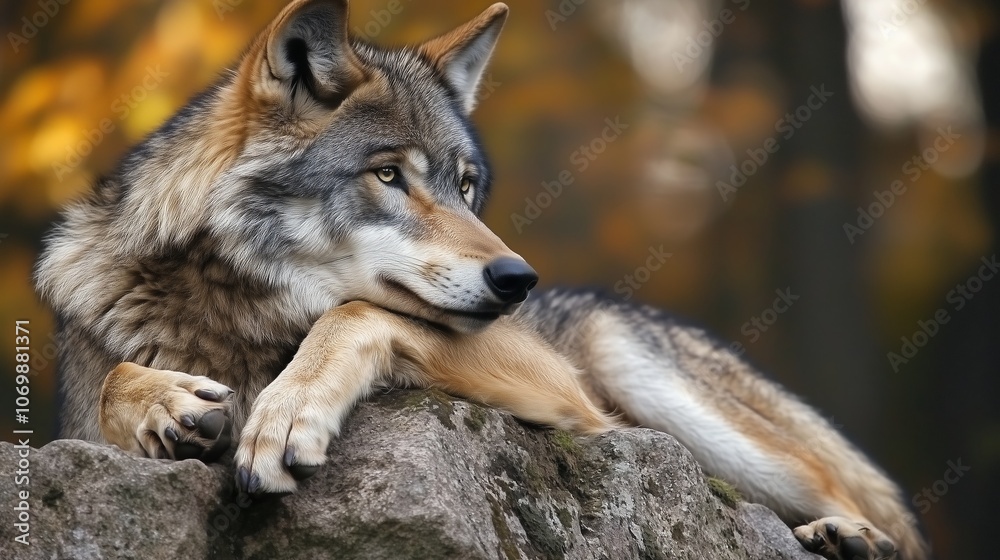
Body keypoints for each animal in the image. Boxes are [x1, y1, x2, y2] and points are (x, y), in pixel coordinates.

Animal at [34, 1, 929, 559]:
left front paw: (284, 415)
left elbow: (353, 314)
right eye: (388, 175)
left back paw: (851, 537)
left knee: (839, 493)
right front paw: (168, 403)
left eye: (466, 187)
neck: (235, 320)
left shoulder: (554, 386)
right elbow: (112, 382)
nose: (516, 278)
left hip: (642, 380)